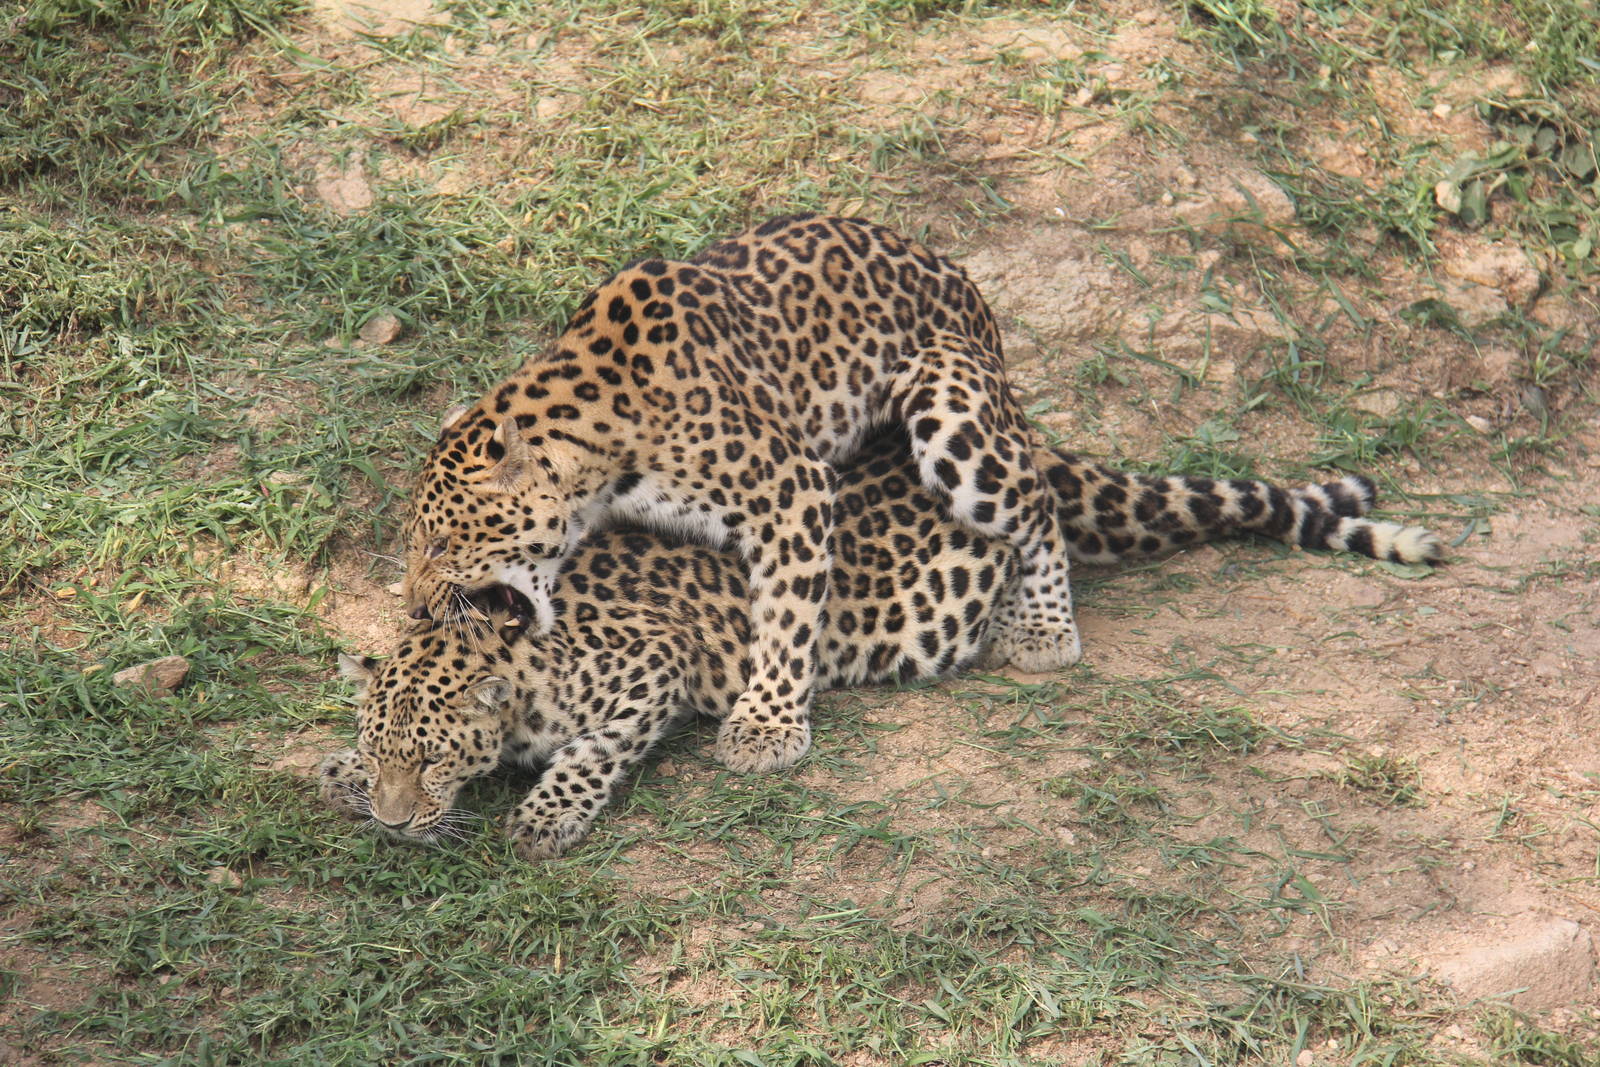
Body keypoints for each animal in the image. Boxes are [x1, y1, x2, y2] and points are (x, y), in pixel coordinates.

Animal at [326, 429, 1441, 859]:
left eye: (433, 758)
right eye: (389, 754)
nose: (391, 819)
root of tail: (1034, 437)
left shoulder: (655, 667)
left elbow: (591, 752)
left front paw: (544, 815)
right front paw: (338, 770)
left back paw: (1029, 626)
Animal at [400, 213, 1106, 778]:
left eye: (439, 544)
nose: (413, 608)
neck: (600, 446)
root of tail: (969, 287)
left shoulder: (791, 488)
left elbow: (787, 614)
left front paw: (767, 724)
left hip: (953, 410)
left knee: (1037, 502)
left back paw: (1045, 626)